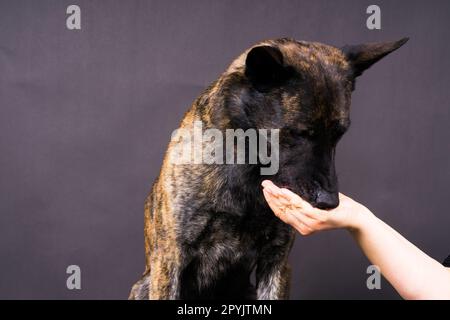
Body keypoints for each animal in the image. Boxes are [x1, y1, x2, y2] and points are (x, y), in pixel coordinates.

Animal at [127, 37, 408, 300]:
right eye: (299, 132)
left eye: (339, 134)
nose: (329, 202)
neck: (246, 166)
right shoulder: (171, 259)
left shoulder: (276, 260)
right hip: (143, 285)